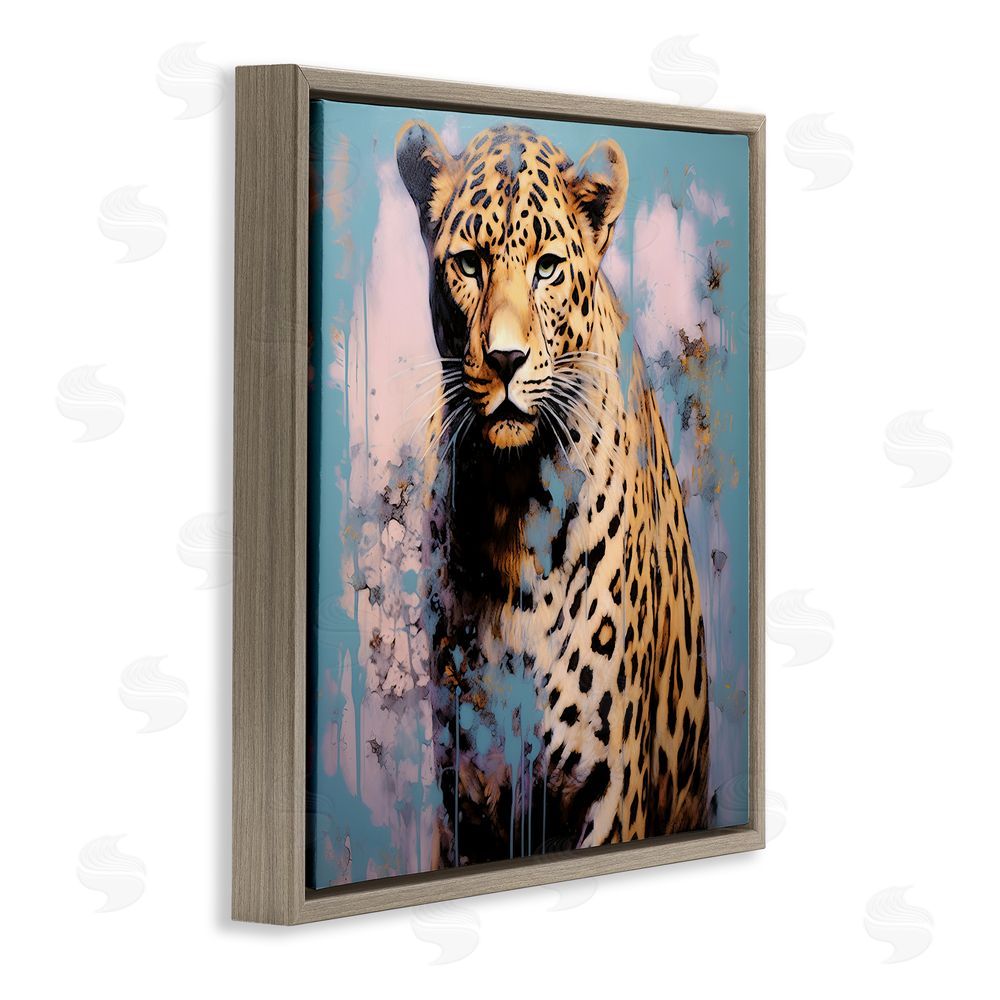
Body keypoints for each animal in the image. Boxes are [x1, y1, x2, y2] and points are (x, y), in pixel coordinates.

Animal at [396, 120, 710, 867]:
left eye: (547, 267)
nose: (506, 360)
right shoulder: (466, 797)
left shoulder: (603, 788)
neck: (512, 503)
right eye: (469, 263)